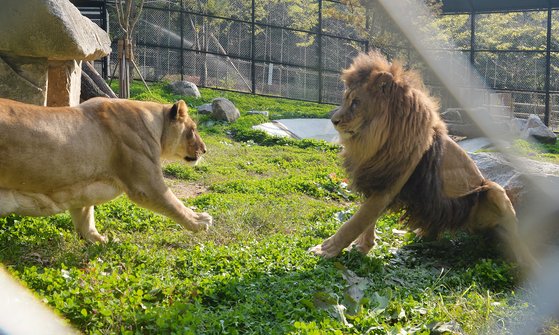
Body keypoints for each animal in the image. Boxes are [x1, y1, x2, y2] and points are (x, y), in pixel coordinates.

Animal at [0, 98, 212, 244]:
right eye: (193, 129)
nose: (204, 150)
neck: (155, 125)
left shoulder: (81, 186)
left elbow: (86, 215)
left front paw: (98, 240)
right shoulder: (146, 185)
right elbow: (174, 203)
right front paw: (199, 221)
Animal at [312, 51, 536, 268]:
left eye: (356, 102)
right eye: (345, 100)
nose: (334, 121)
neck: (374, 139)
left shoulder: (391, 183)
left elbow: (357, 220)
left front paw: (325, 249)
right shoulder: (376, 176)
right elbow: (367, 219)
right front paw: (363, 246)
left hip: (493, 190)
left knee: (515, 236)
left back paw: (524, 261)